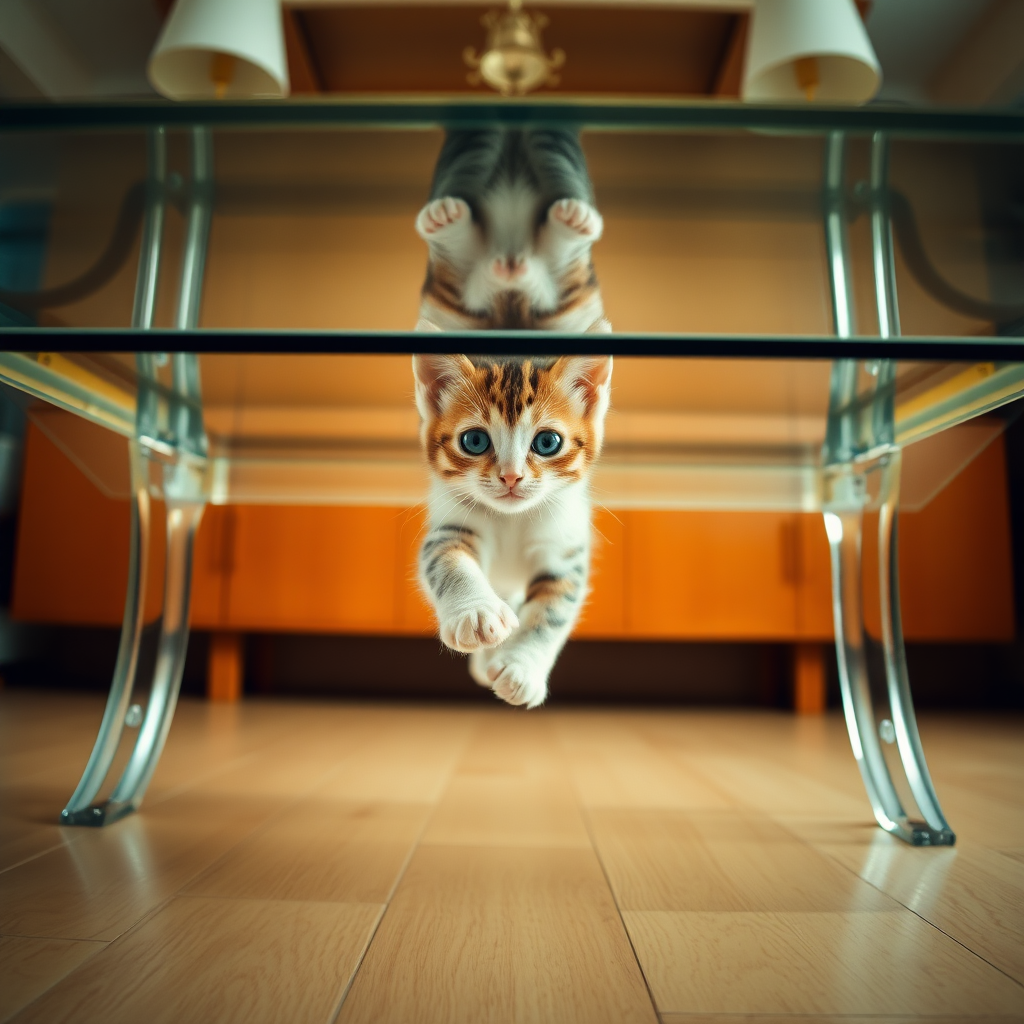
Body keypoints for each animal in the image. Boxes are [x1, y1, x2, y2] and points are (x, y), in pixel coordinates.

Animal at [411, 356, 610, 708]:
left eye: (547, 442)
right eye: (475, 441)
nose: (511, 476)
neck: (512, 519)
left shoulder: (564, 548)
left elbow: (552, 610)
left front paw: (522, 668)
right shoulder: (450, 524)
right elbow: (447, 561)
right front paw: (475, 612)